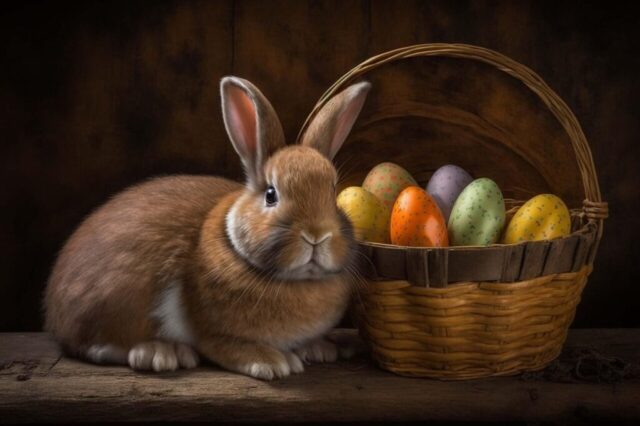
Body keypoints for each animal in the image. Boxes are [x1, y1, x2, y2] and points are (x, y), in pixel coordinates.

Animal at [43, 76, 371, 380]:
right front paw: (272, 362)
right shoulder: (211, 333)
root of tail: (53, 310)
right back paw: (161, 352)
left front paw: (320, 349)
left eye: (332, 192)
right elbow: (227, 346)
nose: (317, 235)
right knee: (98, 346)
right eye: (271, 194)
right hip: (122, 297)